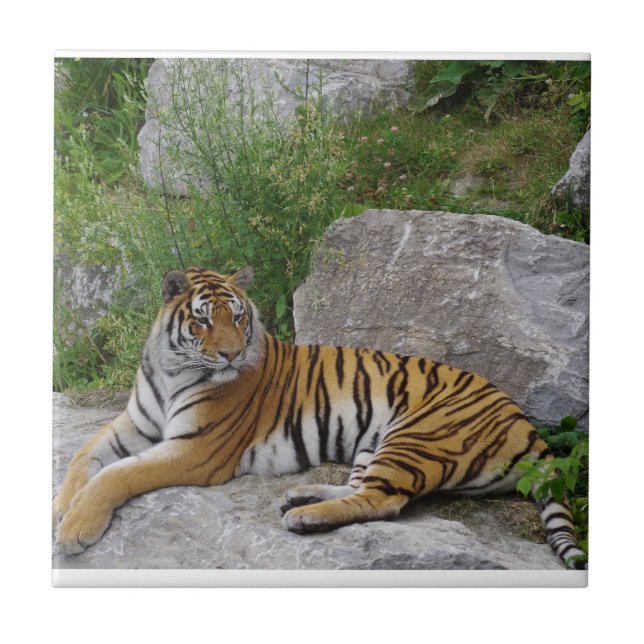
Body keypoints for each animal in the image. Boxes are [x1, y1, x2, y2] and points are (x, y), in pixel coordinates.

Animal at [53, 266, 587, 569]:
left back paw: (304, 518)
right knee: (360, 488)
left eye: (239, 317)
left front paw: (75, 528)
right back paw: (301, 496)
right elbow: (83, 457)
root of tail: (526, 423)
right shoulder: (135, 423)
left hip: (416, 436)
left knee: (383, 502)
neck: (170, 370)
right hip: (375, 441)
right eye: (203, 319)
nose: (230, 355)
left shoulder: (195, 450)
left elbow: (117, 476)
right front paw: (61, 506)